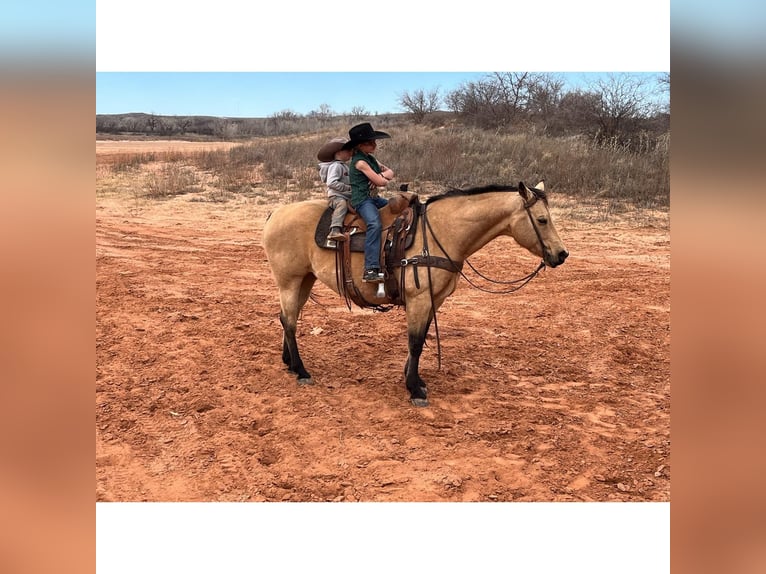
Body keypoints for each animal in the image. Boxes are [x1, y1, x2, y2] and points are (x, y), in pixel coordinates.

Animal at [264, 182, 568, 408]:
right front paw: (415, 390)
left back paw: (289, 363)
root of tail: (275, 213)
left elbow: (420, 340)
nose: (562, 254)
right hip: (289, 281)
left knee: (287, 318)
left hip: (305, 280)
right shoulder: (419, 298)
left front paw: (415, 381)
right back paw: (301, 371)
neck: (441, 233)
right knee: (289, 321)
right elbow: (416, 343)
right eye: (542, 220)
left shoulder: (434, 299)